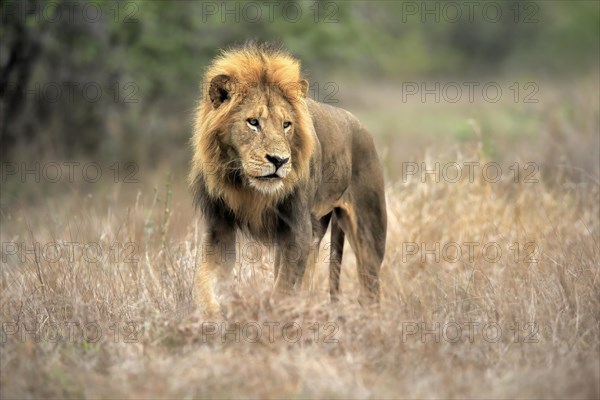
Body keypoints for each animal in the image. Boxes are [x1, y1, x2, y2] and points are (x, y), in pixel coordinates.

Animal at [190, 43, 386, 316]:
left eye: (286, 124)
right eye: (253, 122)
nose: (279, 160)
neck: (247, 186)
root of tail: (361, 126)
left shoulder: (297, 230)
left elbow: (282, 287)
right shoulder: (218, 226)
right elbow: (205, 283)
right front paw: (210, 317)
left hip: (369, 232)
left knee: (370, 286)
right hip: (317, 230)